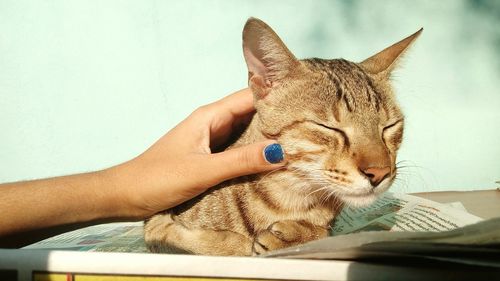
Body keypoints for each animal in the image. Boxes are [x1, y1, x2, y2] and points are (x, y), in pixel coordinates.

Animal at [145, 16, 422, 255]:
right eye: (329, 128)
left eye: (389, 126)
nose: (380, 172)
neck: (289, 199)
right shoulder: (156, 226)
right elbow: (172, 235)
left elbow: (325, 234)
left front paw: (297, 235)